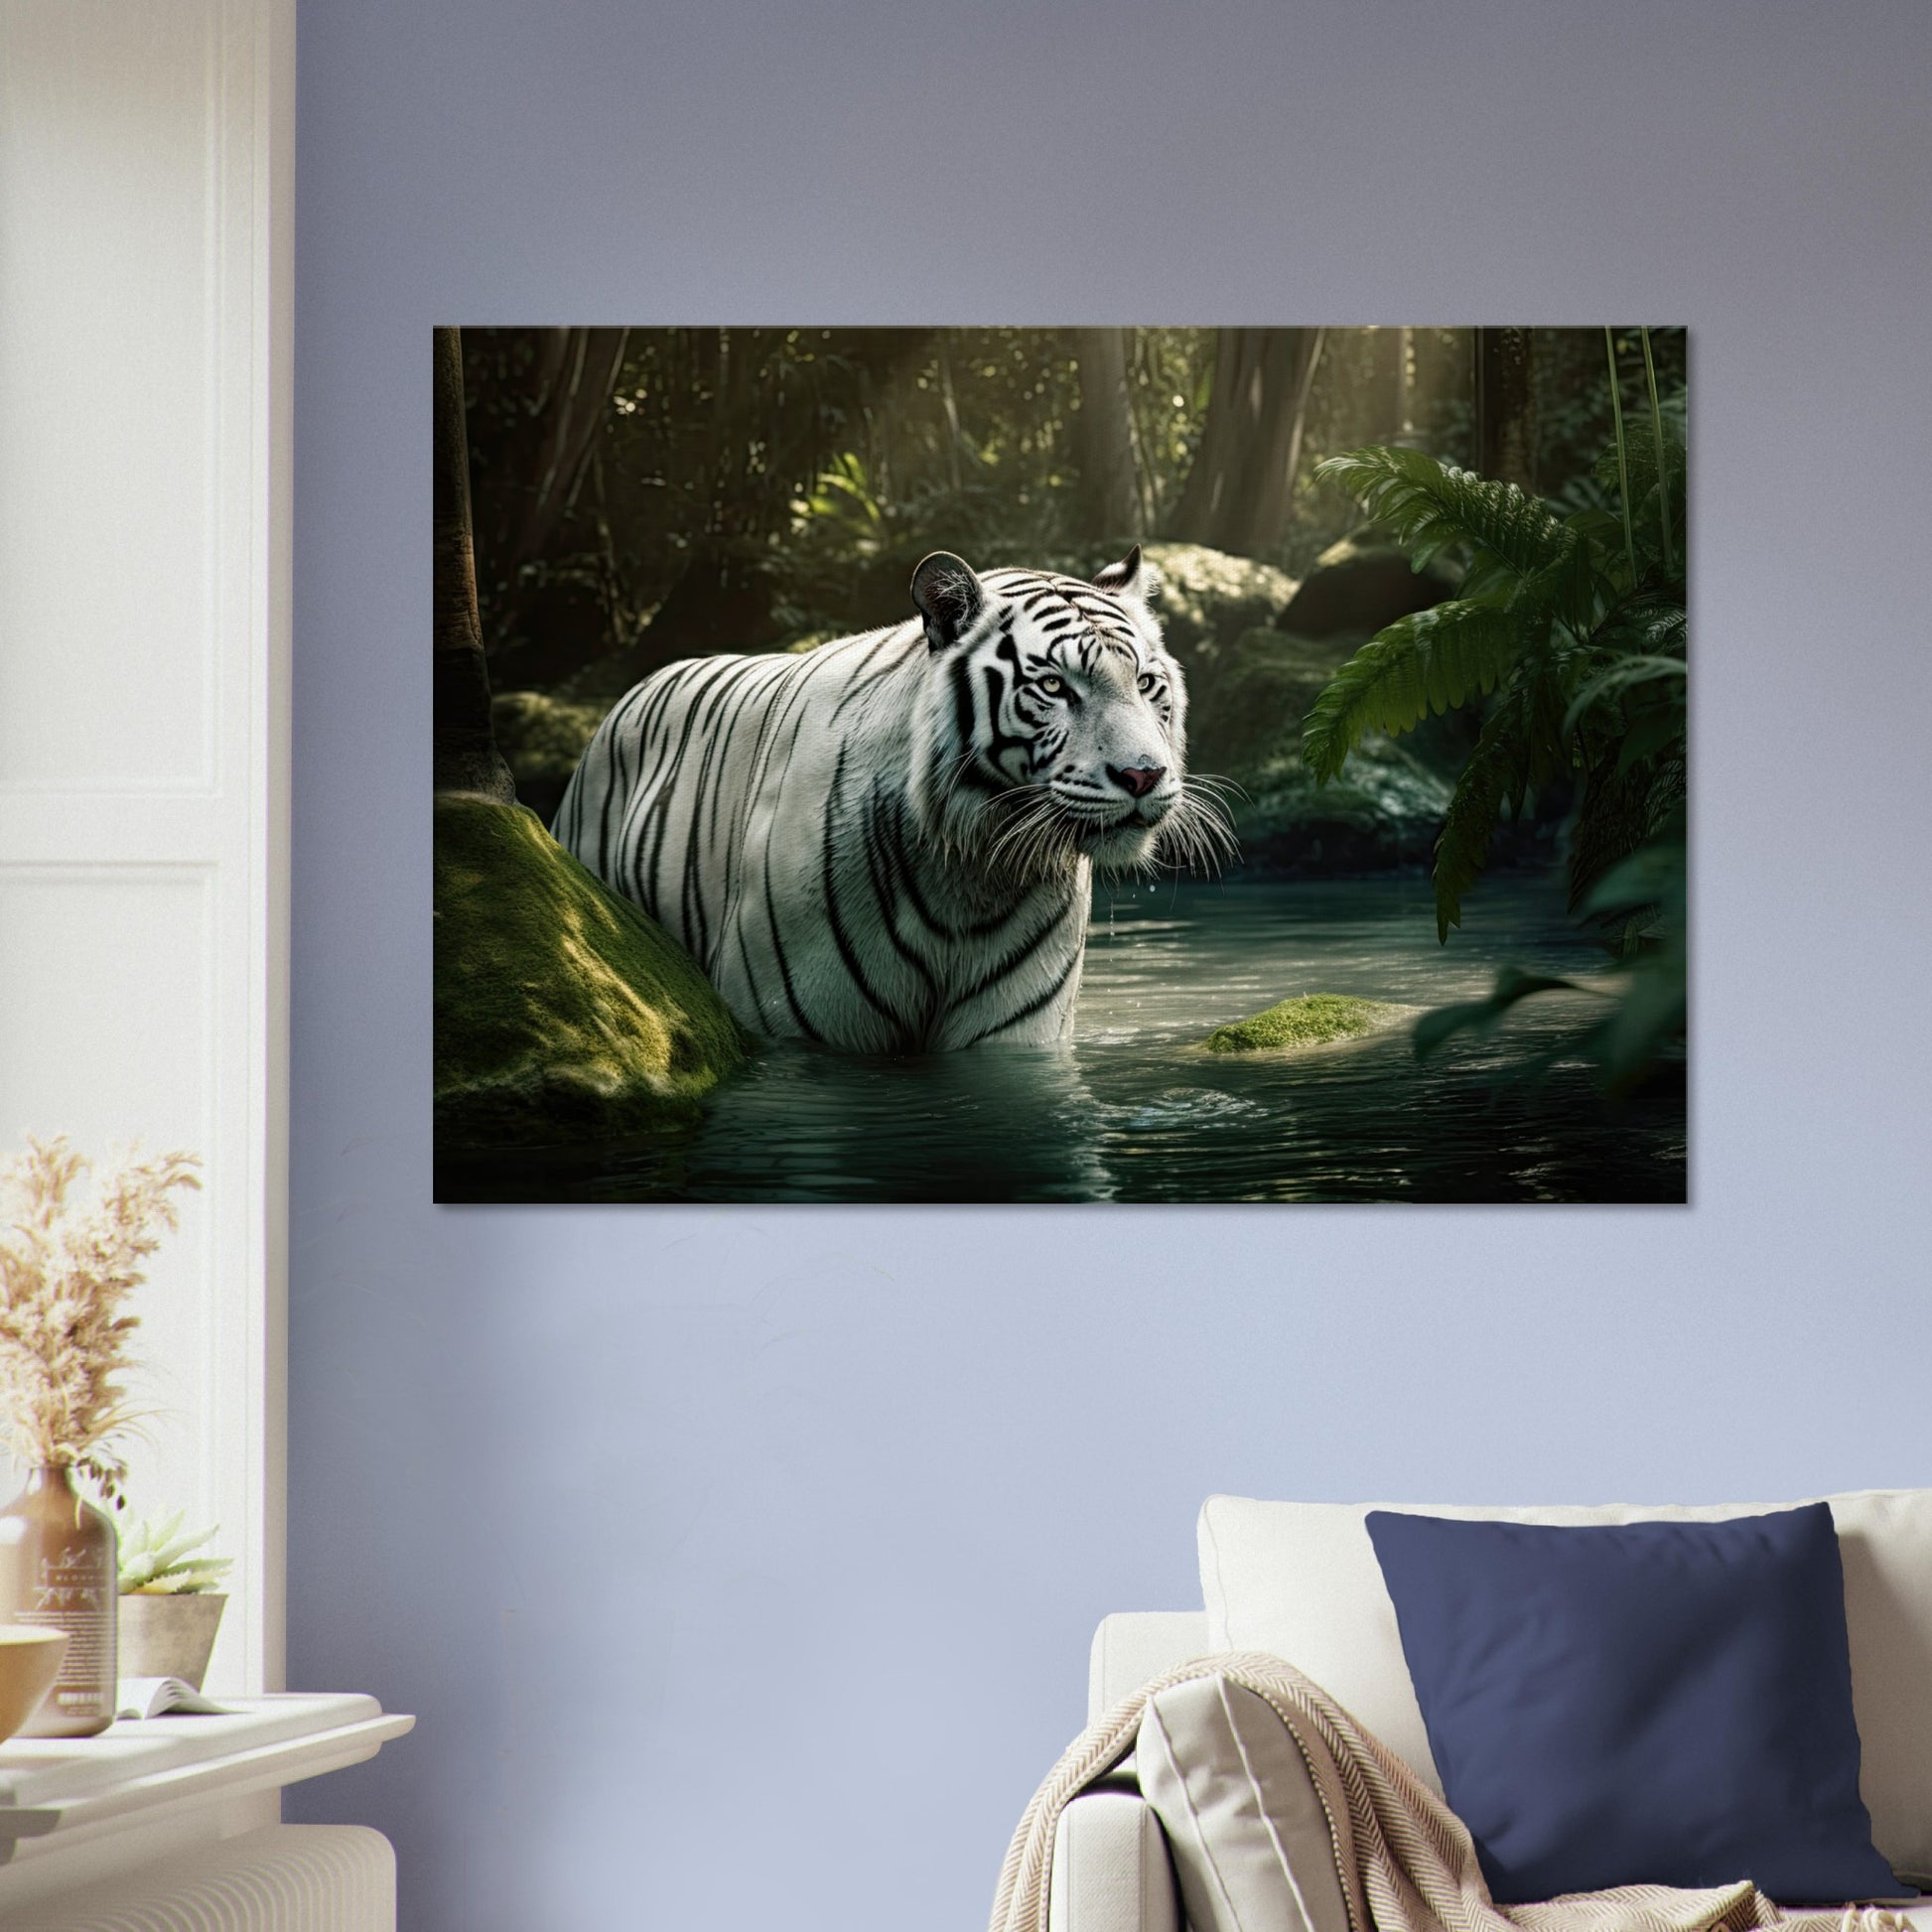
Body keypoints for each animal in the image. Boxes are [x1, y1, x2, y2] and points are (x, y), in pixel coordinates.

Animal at [553, 546, 1229, 1053]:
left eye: (1145, 683)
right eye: (1055, 687)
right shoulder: (803, 1027)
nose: (1144, 775)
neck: (972, 873)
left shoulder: (1013, 1034)